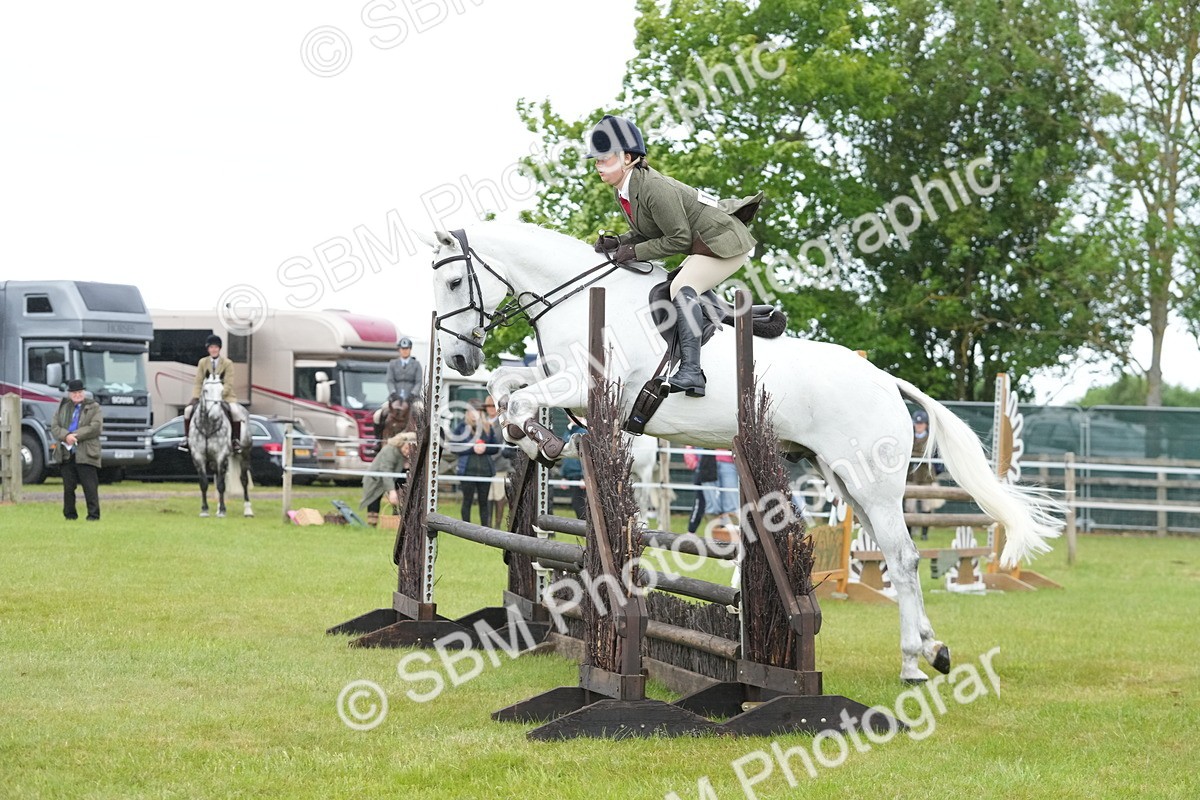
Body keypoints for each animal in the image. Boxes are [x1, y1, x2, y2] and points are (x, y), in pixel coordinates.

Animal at [189, 375, 253, 518]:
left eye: (222, 391)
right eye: (205, 390)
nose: (215, 415)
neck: (207, 425)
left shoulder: (221, 455)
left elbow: (221, 485)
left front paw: (223, 510)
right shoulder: (198, 457)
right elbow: (204, 483)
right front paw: (204, 510)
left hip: (244, 454)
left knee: (243, 480)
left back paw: (248, 510)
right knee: (219, 476)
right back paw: (218, 507)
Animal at [418, 222, 1062, 683]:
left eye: (452, 284)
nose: (458, 360)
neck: (573, 299)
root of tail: (884, 380)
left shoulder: (588, 384)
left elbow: (520, 397)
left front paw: (544, 438)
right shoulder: (563, 382)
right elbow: (507, 389)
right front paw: (533, 438)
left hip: (870, 480)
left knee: (903, 559)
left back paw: (911, 662)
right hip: (842, 477)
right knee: (895, 557)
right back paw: (934, 649)